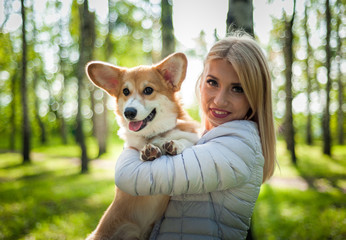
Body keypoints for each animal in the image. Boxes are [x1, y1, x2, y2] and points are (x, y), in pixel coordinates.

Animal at [85, 53, 199, 240]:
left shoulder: (191, 136)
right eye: (125, 91)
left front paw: (173, 144)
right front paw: (150, 150)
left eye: (148, 90)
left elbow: (186, 140)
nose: (129, 112)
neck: (155, 133)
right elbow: (142, 146)